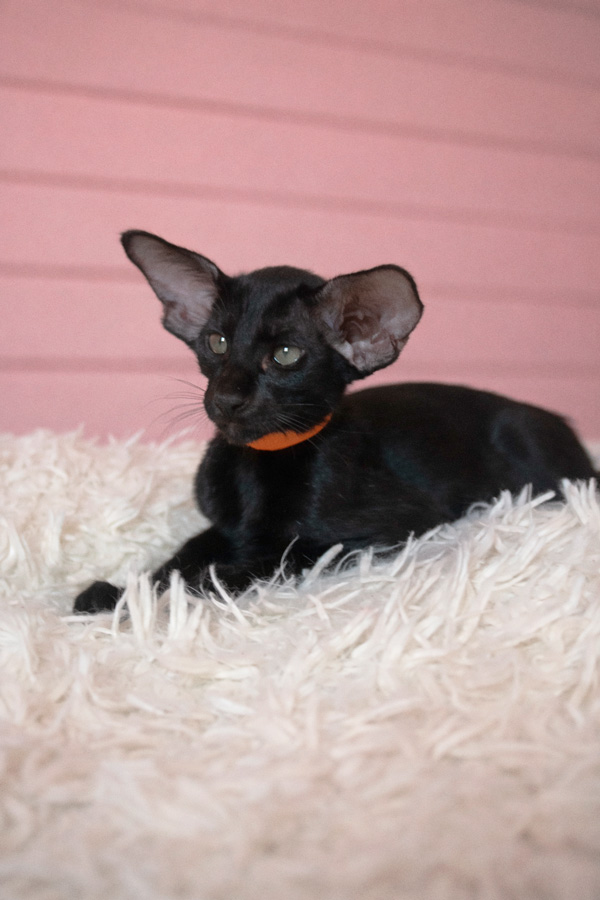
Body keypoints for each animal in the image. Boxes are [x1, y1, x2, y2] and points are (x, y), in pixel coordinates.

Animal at [74, 230, 596, 613]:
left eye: (286, 354)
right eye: (216, 343)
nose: (226, 398)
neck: (257, 469)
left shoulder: (382, 533)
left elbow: (250, 564)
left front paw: (160, 597)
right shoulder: (222, 527)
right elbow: (181, 557)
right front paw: (123, 591)